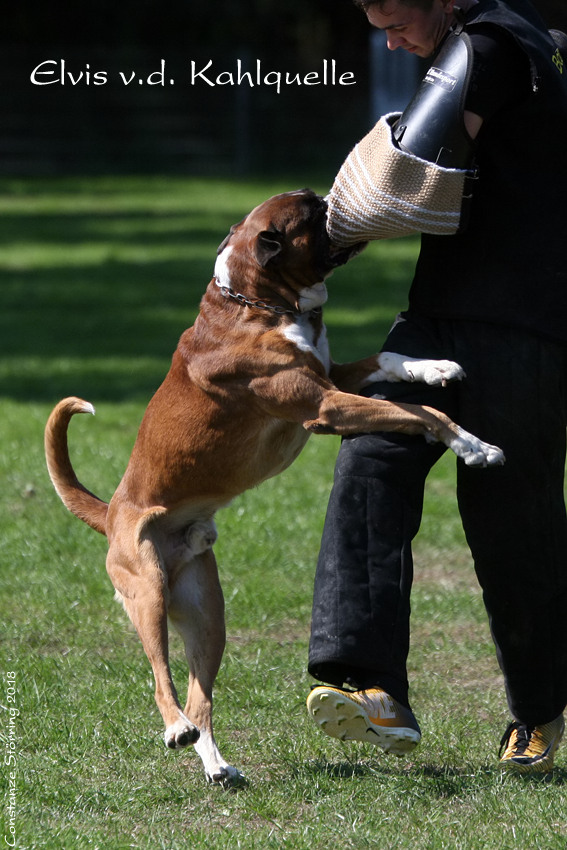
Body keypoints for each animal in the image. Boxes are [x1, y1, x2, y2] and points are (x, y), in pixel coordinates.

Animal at [45, 189, 506, 784]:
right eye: (312, 213)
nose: (333, 198)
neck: (260, 306)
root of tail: (111, 511)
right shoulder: (327, 406)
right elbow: (422, 415)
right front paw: (473, 446)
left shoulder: (336, 379)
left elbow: (389, 361)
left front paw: (436, 367)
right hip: (147, 593)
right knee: (161, 677)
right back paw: (175, 729)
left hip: (207, 618)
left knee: (200, 696)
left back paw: (215, 764)